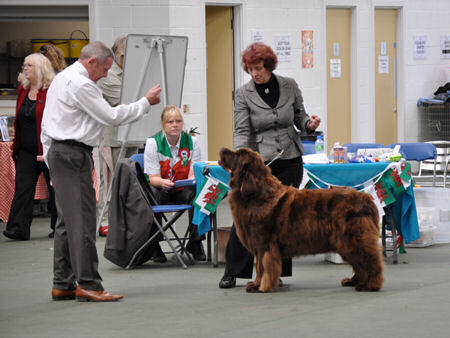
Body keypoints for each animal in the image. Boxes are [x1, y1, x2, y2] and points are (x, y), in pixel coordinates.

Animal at [218, 148, 384, 294]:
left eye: (237, 154)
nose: (222, 149)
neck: (255, 194)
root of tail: (367, 198)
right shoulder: (259, 245)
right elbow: (259, 265)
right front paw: (256, 284)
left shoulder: (264, 244)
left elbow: (262, 267)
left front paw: (261, 287)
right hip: (344, 241)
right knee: (359, 264)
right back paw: (354, 281)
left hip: (351, 238)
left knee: (369, 260)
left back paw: (370, 285)